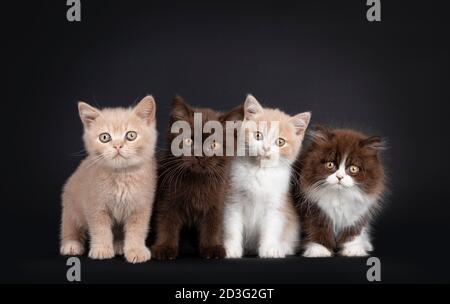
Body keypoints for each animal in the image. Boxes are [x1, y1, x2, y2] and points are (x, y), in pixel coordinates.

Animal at [59, 96, 158, 262]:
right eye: (104, 137)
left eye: (131, 135)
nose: (117, 146)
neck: (121, 175)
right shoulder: (95, 205)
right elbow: (99, 229)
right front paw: (101, 249)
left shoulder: (141, 205)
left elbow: (137, 229)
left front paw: (136, 250)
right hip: (71, 203)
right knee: (70, 224)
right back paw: (71, 244)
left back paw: (118, 245)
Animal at [224, 95, 310, 258]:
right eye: (258, 135)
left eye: (280, 142)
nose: (266, 148)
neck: (259, 171)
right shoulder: (233, 199)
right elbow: (232, 225)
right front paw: (231, 249)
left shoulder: (276, 202)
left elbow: (272, 226)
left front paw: (270, 249)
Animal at [296, 125, 386, 256]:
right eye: (330, 165)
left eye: (353, 168)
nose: (340, 177)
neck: (339, 195)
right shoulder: (314, 210)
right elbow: (318, 229)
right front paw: (320, 250)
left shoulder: (357, 213)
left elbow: (353, 231)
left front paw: (353, 250)